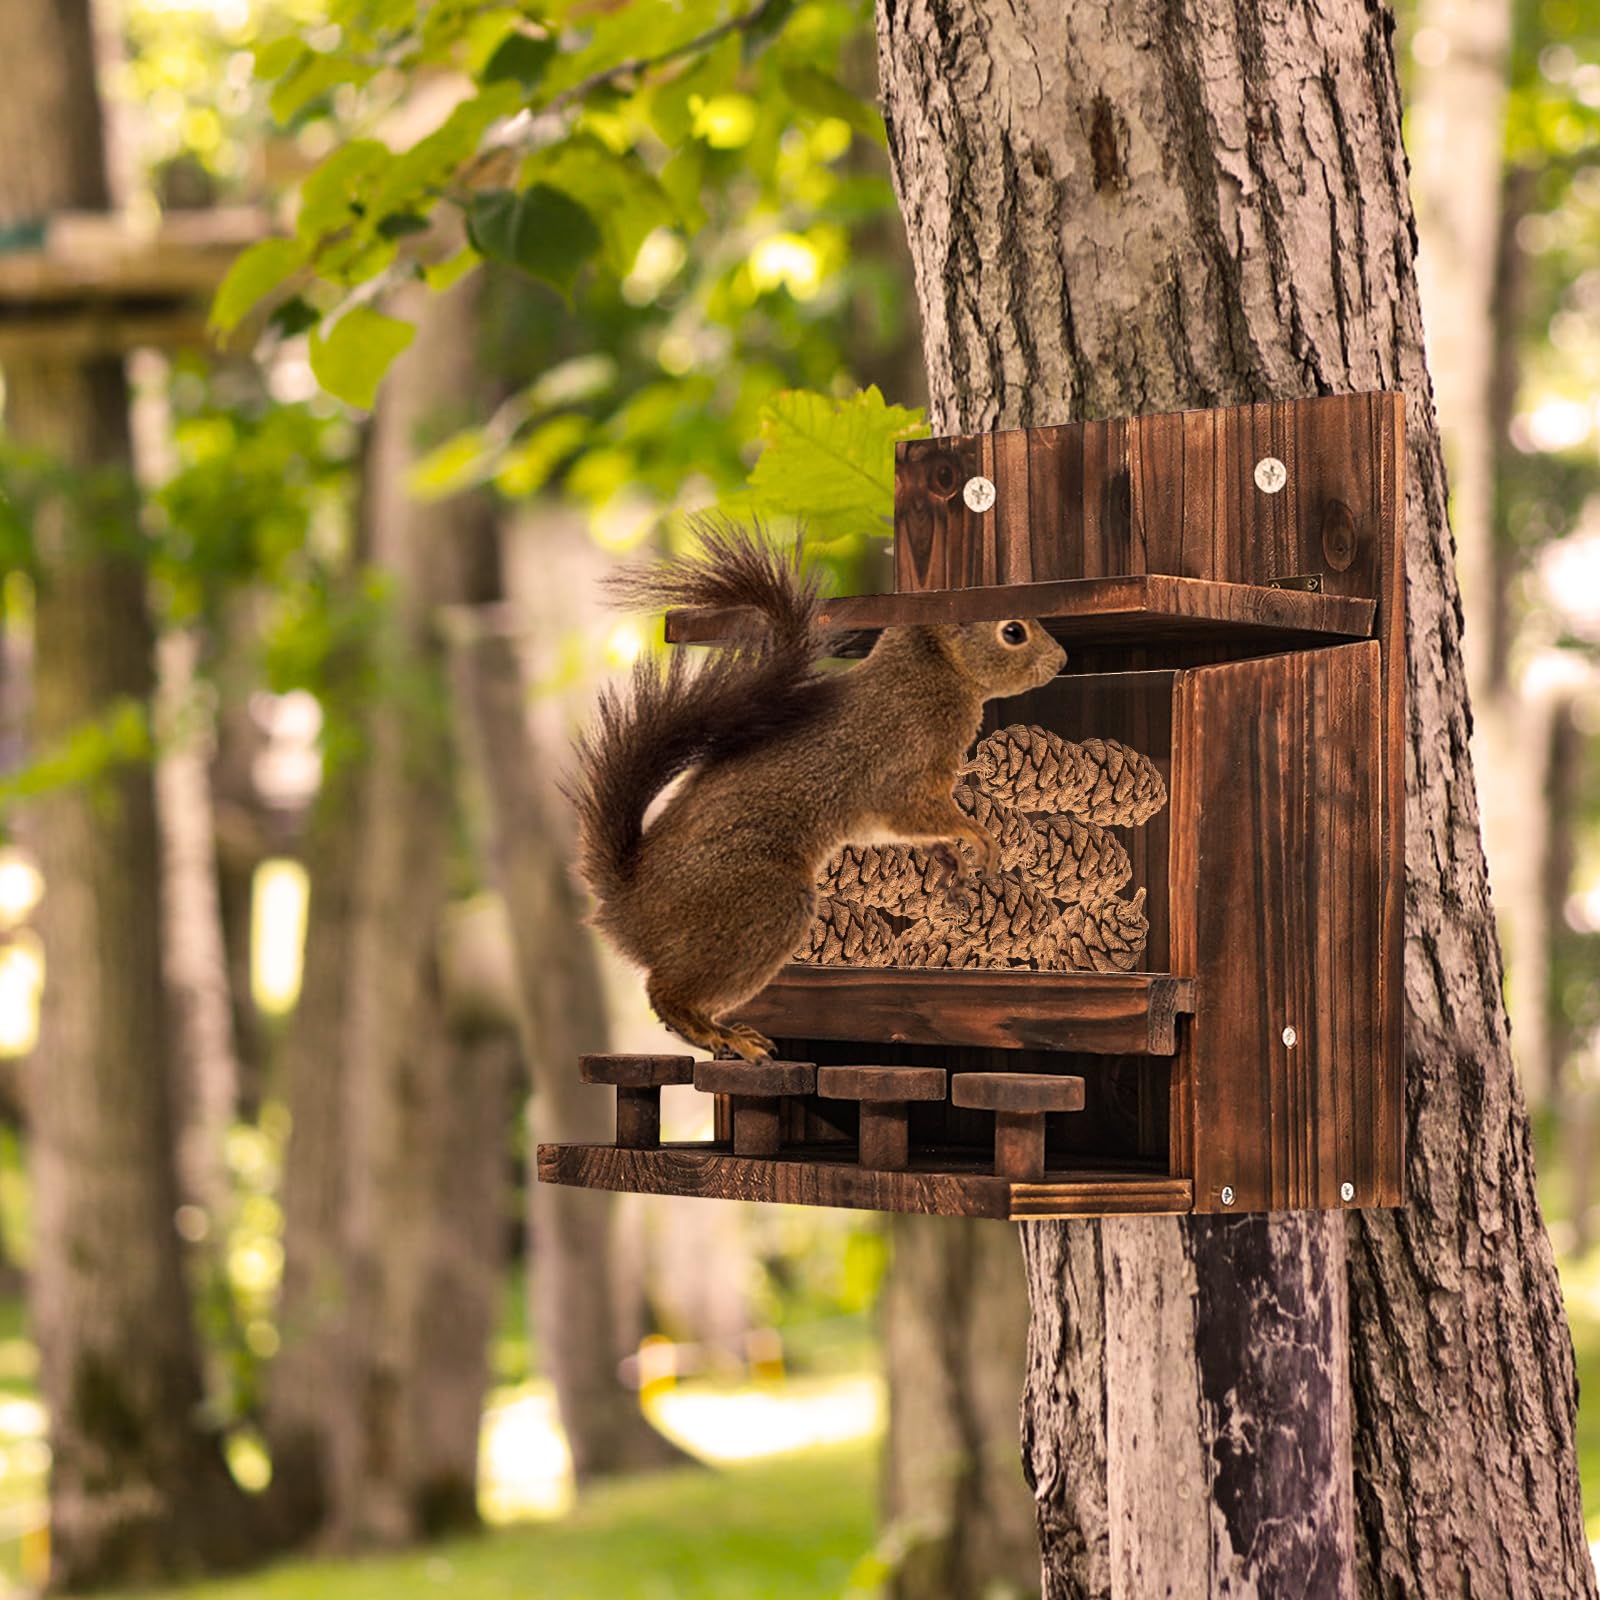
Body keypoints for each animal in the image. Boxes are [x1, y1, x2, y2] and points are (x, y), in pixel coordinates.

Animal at [568, 519, 1067, 1060]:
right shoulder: (903, 769)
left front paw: (949, 857)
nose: (1062, 659)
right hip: (761, 906)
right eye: (1013, 632)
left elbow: (905, 830)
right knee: (666, 992)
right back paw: (722, 1034)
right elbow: (919, 812)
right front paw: (979, 838)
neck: (930, 675)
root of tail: (629, 904)